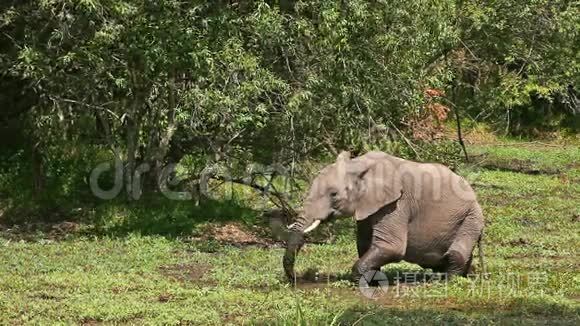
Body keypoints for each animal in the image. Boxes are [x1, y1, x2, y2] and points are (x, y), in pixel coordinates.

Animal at [282, 152, 484, 282]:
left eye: (333, 194)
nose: (296, 278)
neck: (359, 165)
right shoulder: (368, 204)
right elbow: (365, 243)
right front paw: (374, 277)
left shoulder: (397, 204)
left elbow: (391, 246)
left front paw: (362, 279)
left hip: (471, 217)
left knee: (456, 254)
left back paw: (445, 280)